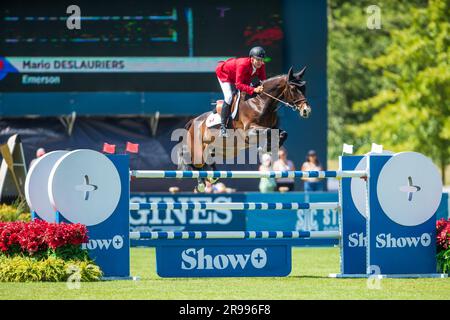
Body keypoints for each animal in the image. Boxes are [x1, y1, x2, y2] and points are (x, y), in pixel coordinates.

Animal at [178, 67, 312, 191]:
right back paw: (201, 183)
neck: (259, 102)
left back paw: (212, 176)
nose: (306, 110)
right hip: (197, 149)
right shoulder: (248, 131)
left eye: (305, 88)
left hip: (219, 149)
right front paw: (265, 147)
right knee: (194, 163)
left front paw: (270, 147)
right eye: (293, 88)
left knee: (207, 161)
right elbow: (268, 132)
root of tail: (193, 121)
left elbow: (283, 133)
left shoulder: (273, 127)